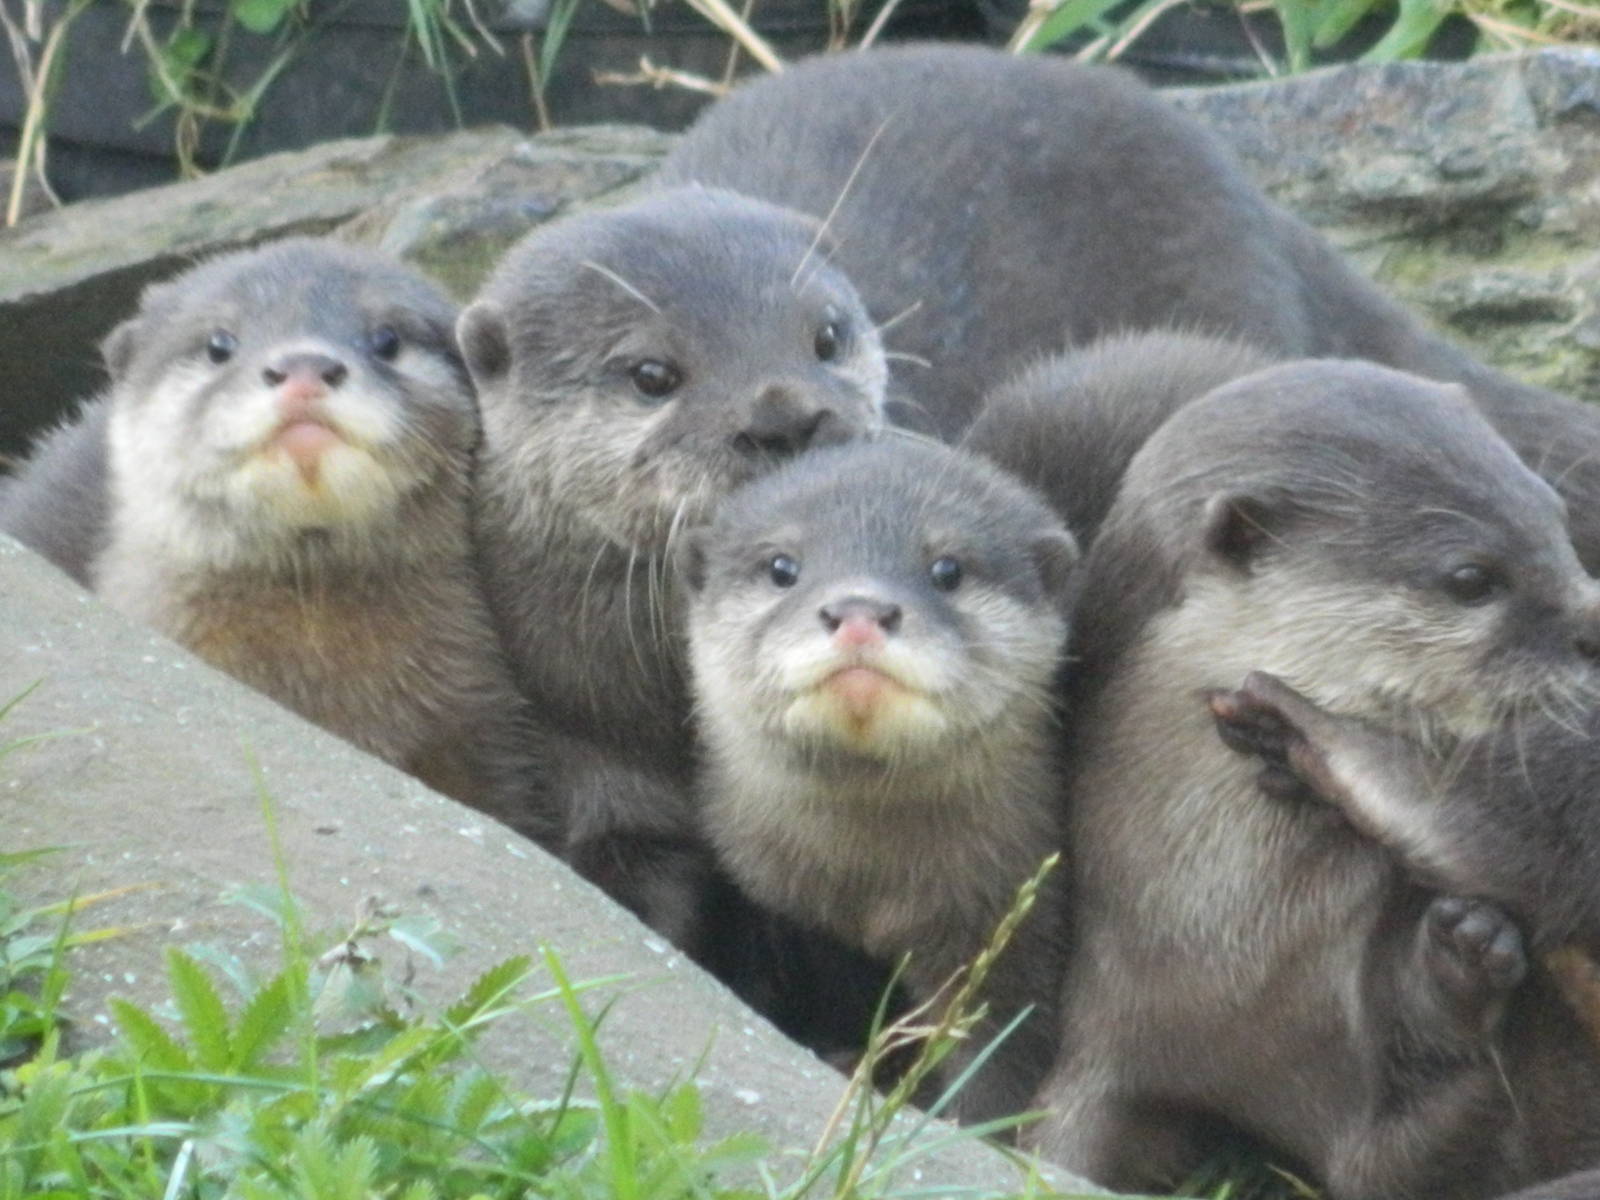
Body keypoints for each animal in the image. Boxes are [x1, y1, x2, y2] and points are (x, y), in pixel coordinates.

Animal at [683, 437, 1077, 1123]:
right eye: (782, 566)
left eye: (947, 569)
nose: (860, 610)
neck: (866, 885)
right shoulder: (773, 905)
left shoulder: (1011, 927)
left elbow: (1000, 1053)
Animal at [1028, 359, 1600, 1198]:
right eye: (1470, 577)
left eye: (1556, 518)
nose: (1596, 624)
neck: (1238, 957)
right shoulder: (1106, 1038)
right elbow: (1055, 1145)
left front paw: (1465, 954)